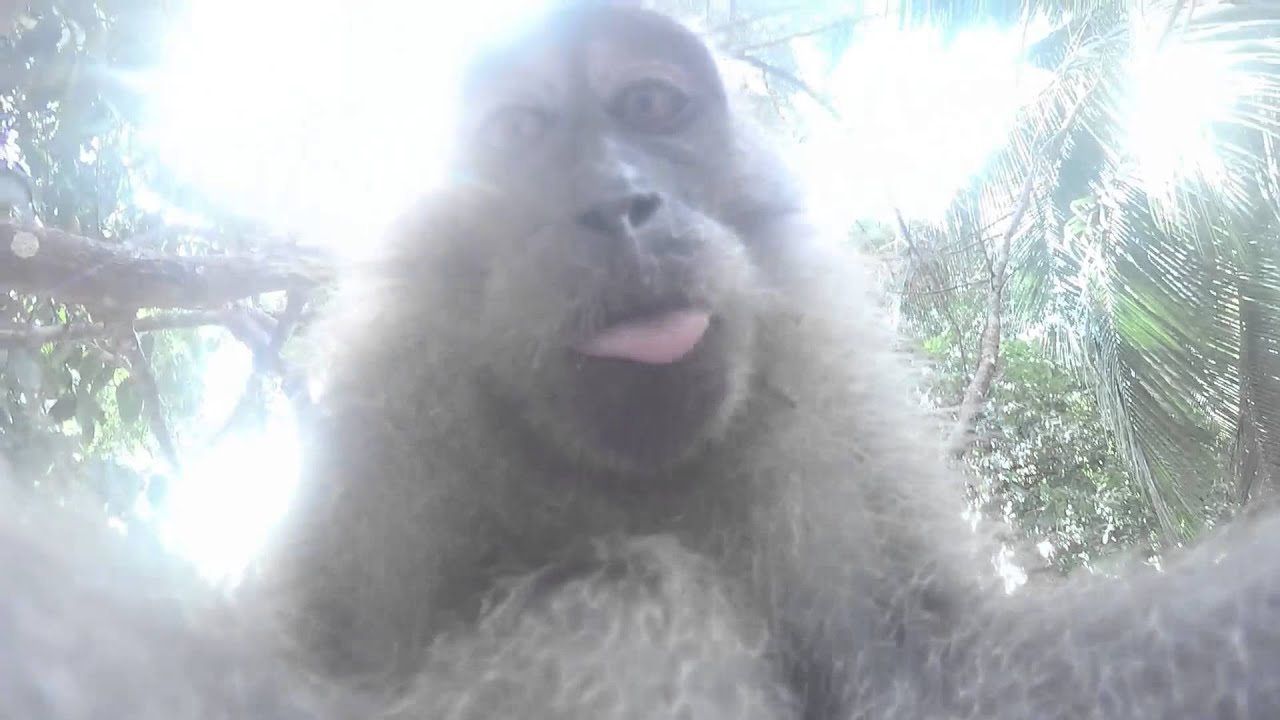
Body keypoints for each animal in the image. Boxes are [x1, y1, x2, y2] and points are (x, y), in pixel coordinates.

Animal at [253, 3, 1280, 719]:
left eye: (649, 106)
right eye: (523, 132)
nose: (620, 203)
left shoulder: (820, 366)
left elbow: (928, 671)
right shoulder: (396, 399)